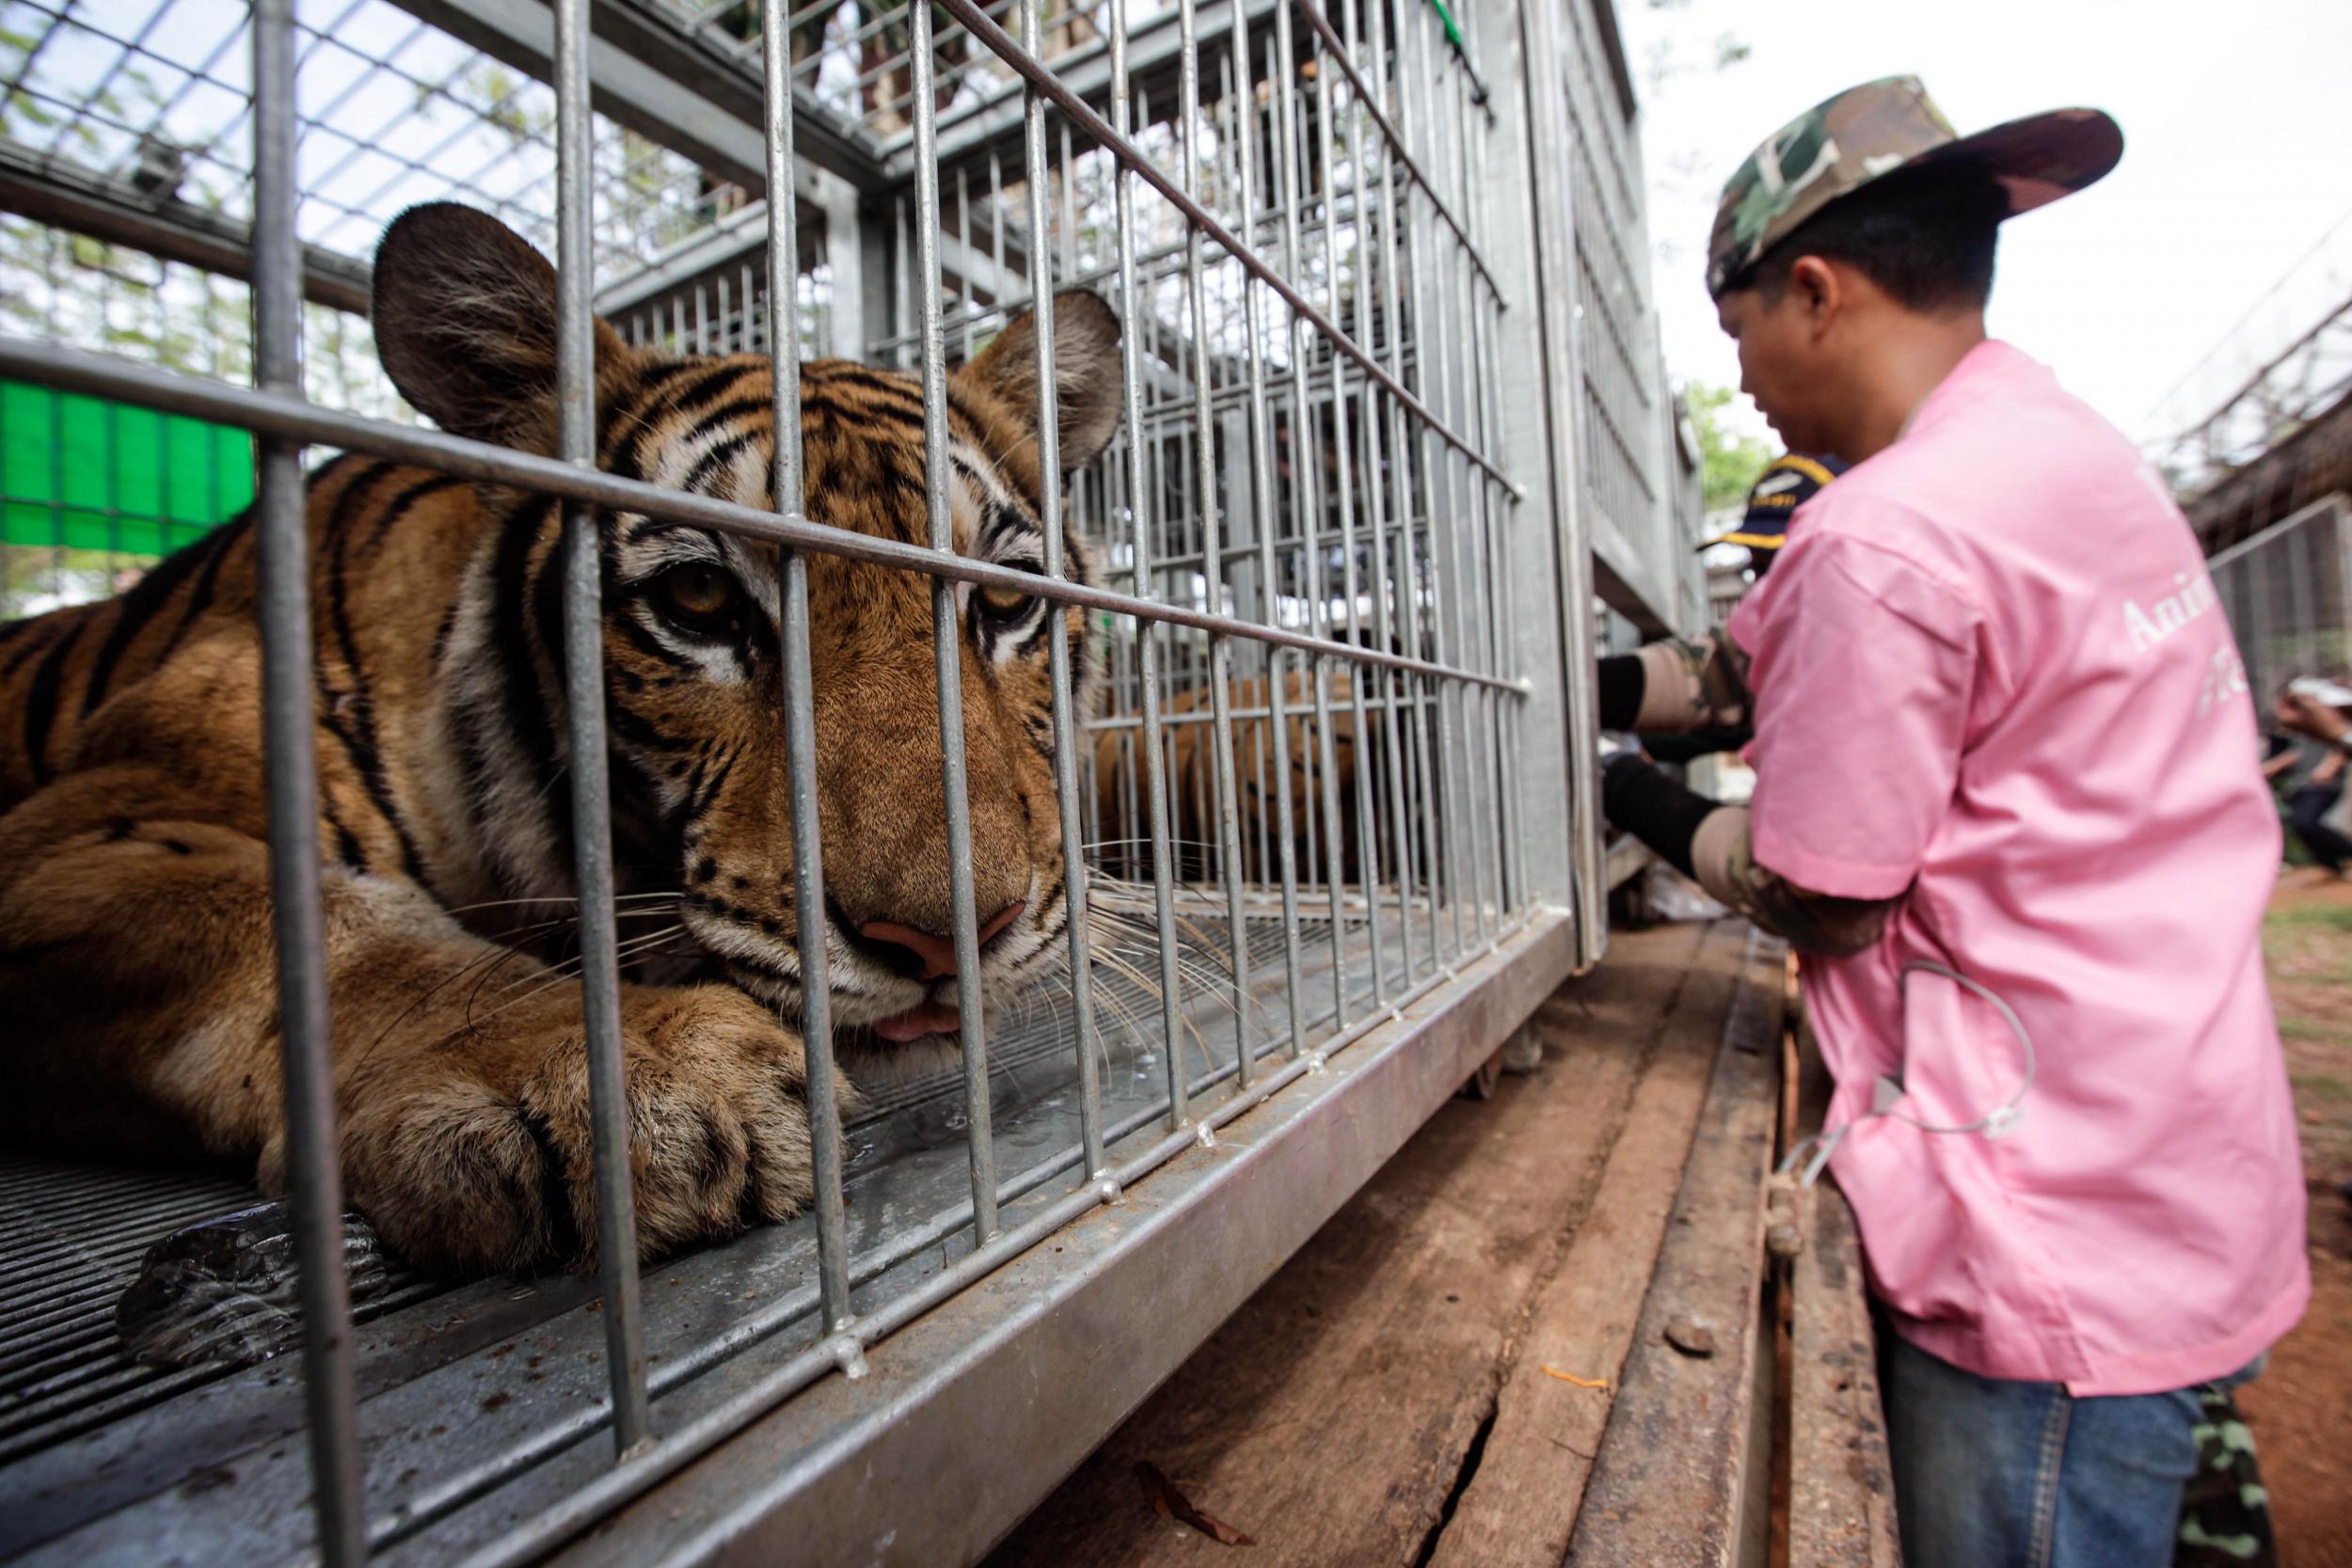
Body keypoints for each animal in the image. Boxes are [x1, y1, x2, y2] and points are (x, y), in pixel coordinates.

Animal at [0, 205, 1129, 1278]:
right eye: (699, 595)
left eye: (1003, 601)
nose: (950, 940)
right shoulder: (93, 829)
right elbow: (339, 932)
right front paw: (624, 1074)